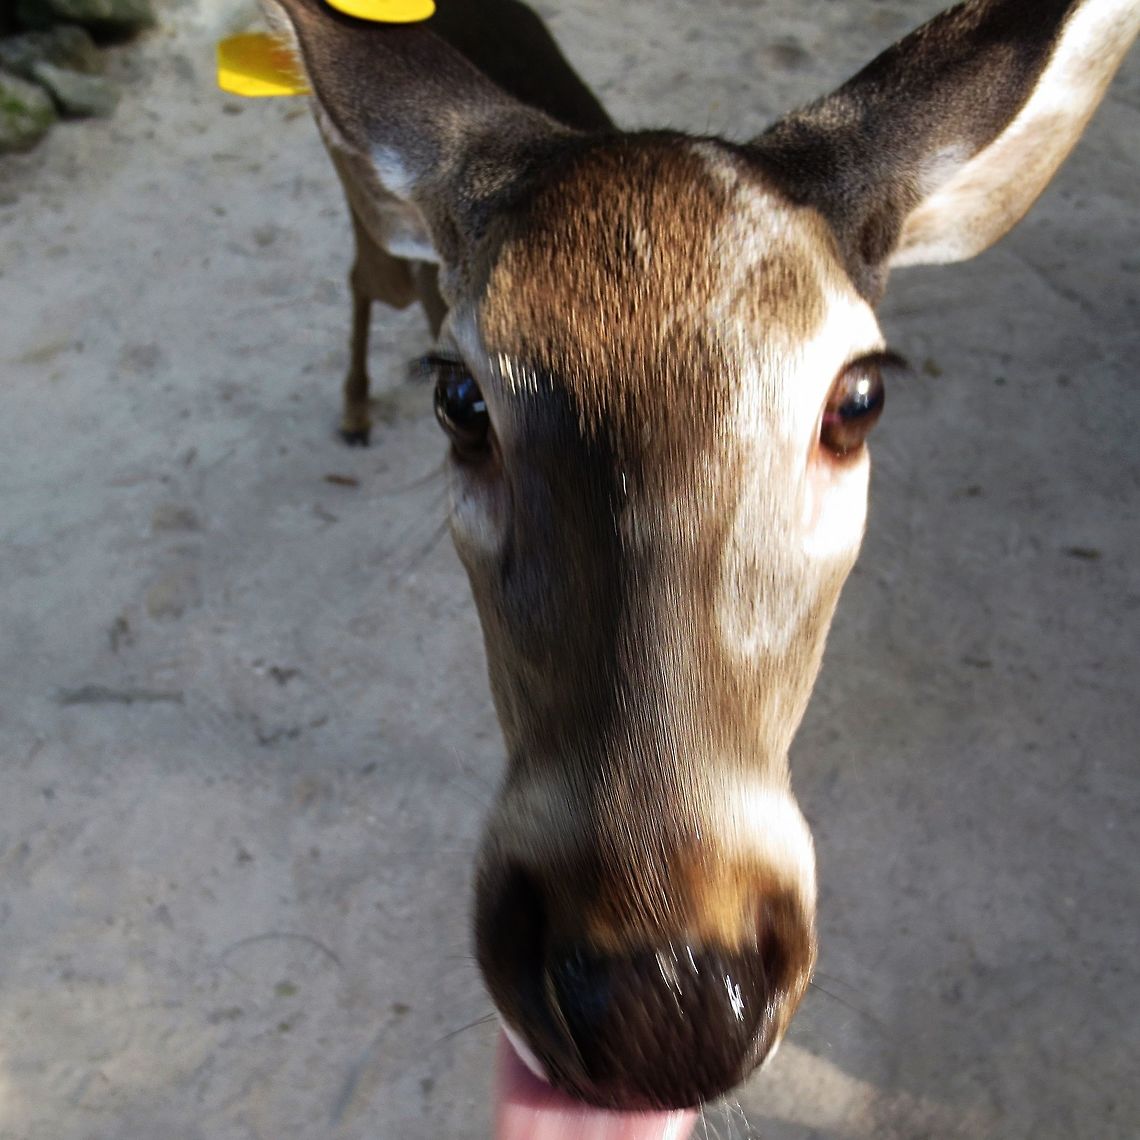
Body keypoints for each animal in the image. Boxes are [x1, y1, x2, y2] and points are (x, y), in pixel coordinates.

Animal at [251, 1, 1138, 1137]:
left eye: (859, 397)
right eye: (462, 399)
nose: (658, 1002)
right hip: (376, 225)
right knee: (365, 280)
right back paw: (356, 407)